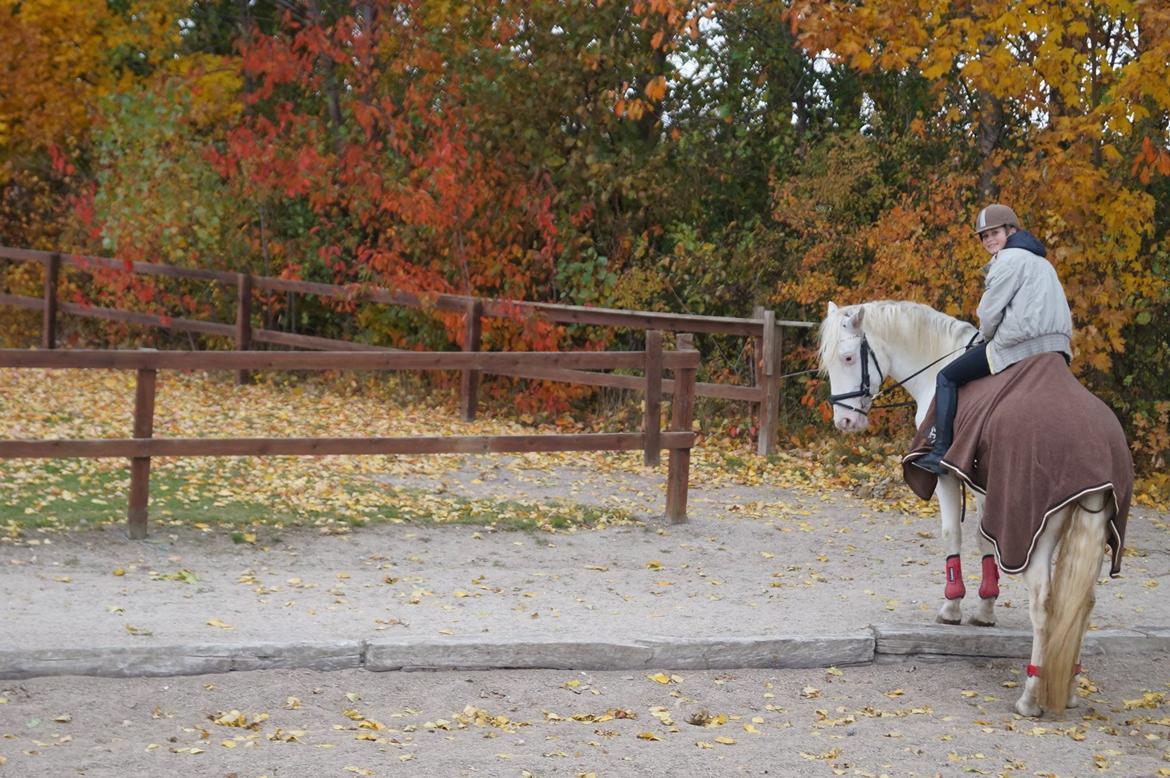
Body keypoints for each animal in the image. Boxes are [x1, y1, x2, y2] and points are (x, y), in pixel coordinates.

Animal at [819, 298, 1118, 715]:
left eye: (848, 357)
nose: (844, 421)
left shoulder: (952, 475)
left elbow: (959, 534)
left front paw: (956, 607)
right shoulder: (985, 485)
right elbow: (984, 539)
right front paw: (985, 608)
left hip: (1038, 529)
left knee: (1043, 602)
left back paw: (1030, 695)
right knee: (1082, 602)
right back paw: (1070, 687)